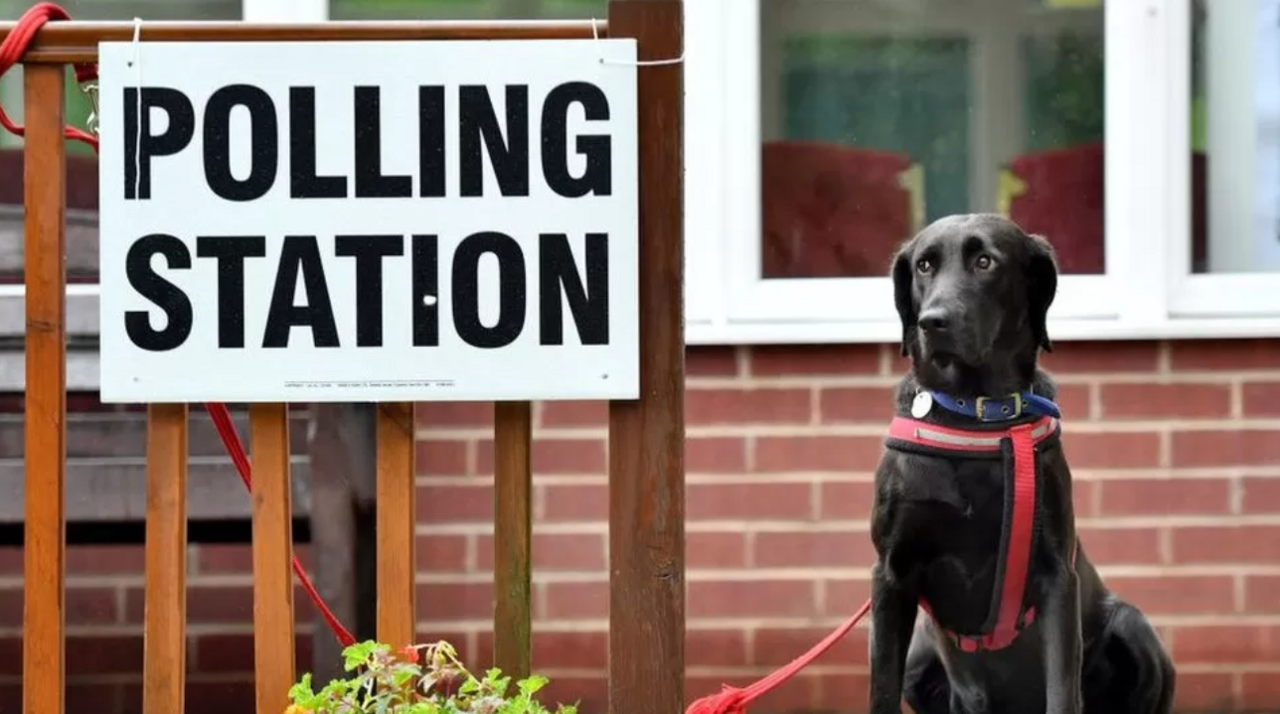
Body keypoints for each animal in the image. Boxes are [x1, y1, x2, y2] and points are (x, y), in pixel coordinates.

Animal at [865, 214, 1172, 714]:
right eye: (924, 266)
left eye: (985, 262)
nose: (933, 322)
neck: (974, 415)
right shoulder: (891, 574)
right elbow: (881, 688)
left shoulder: (1057, 576)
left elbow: (1062, 689)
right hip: (920, 656)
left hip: (1132, 626)